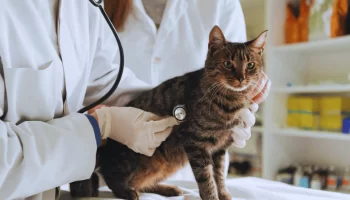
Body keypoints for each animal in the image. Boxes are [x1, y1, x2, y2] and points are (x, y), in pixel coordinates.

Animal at [70, 25, 268, 200]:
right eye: (228, 64)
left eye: (250, 65)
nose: (241, 78)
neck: (231, 101)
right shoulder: (196, 144)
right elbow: (207, 180)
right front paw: (212, 196)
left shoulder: (219, 149)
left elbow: (219, 177)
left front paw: (224, 194)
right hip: (135, 158)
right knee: (112, 176)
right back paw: (127, 192)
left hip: (165, 164)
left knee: (141, 182)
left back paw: (167, 189)